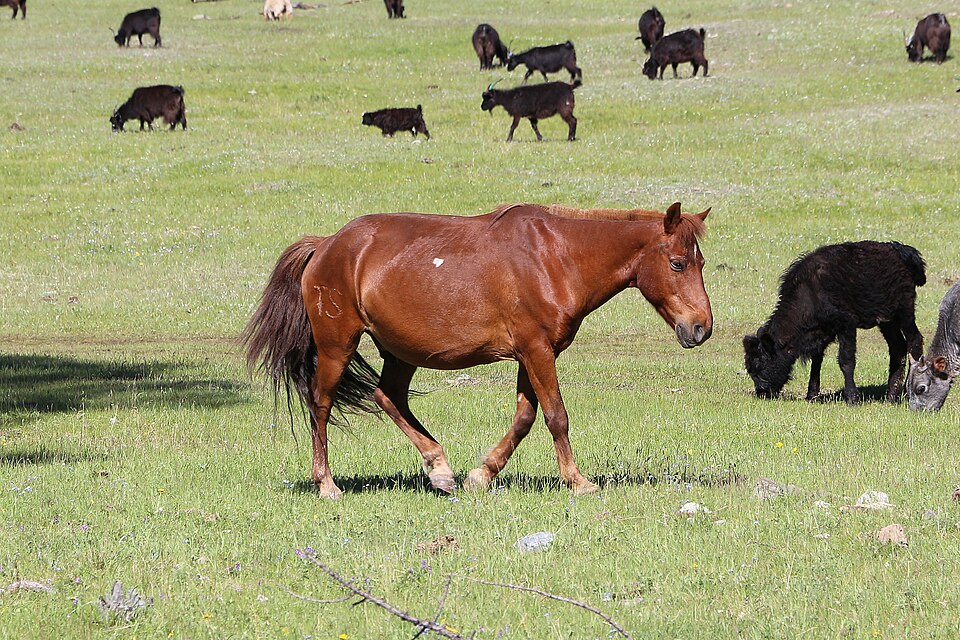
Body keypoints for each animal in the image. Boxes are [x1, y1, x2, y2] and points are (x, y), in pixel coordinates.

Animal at [242, 202, 713, 498]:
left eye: (701, 263)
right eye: (677, 263)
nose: (701, 328)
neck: (556, 257)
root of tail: (326, 245)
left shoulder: (533, 354)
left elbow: (525, 418)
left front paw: (481, 475)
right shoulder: (536, 350)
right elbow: (556, 416)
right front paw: (577, 480)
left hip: (400, 352)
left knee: (387, 397)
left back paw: (440, 469)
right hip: (337, 345)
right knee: (320, 404)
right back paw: (326, 483)